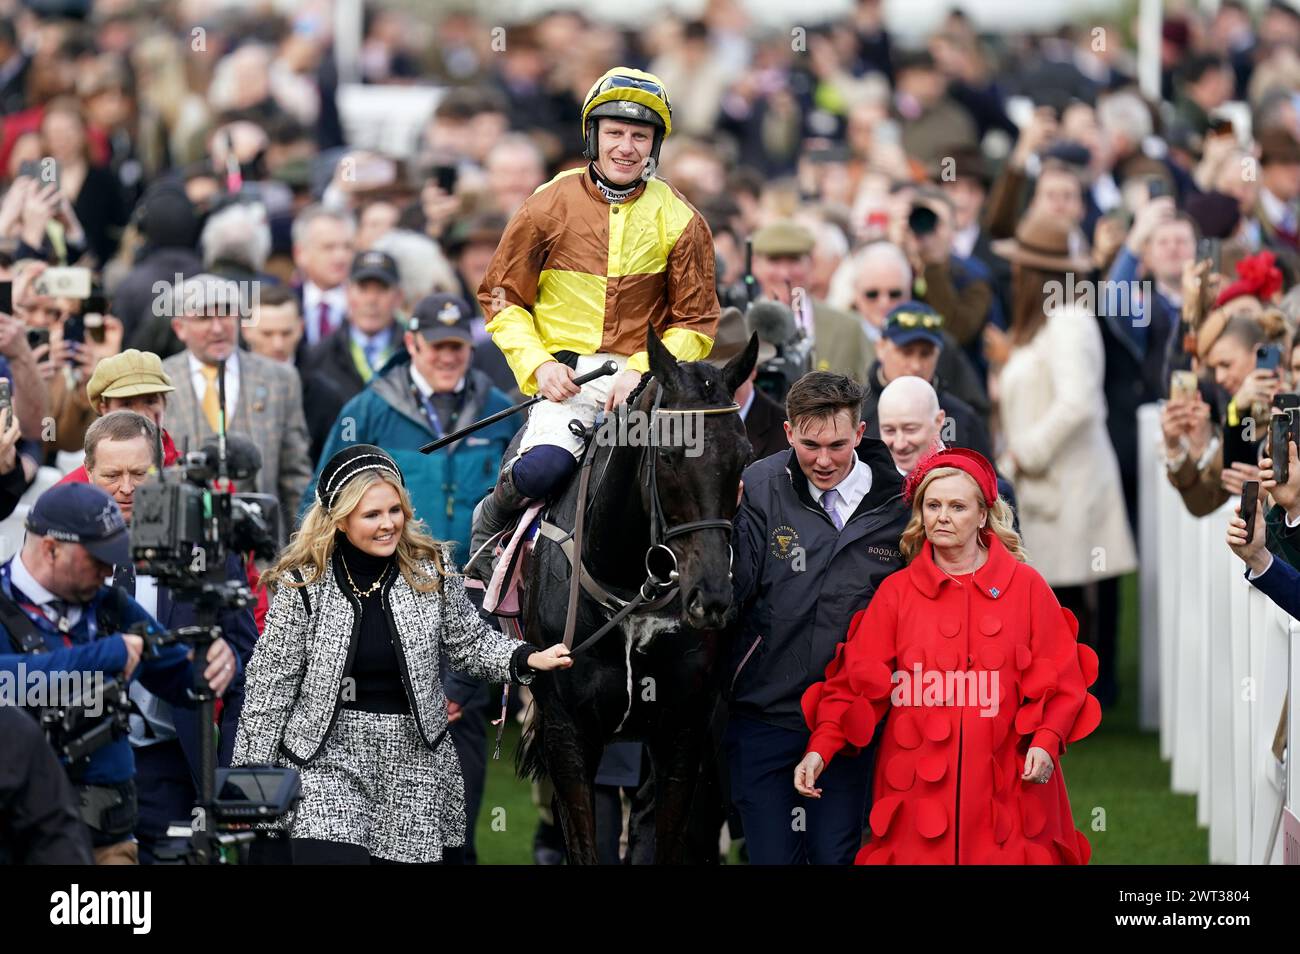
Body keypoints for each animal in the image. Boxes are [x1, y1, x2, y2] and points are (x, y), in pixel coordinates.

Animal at [517, 327, 759, 868]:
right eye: (668, 455)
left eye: (744, 457)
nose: (712, 598)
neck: (628, 592)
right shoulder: (566, 732)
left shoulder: (682, 730)